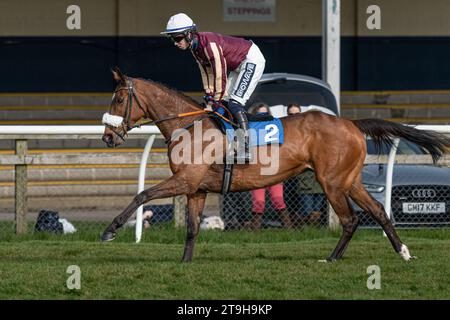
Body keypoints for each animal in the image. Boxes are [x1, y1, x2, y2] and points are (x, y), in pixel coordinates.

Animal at [100, 68, 448, 262]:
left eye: (118, 99)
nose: (107, 136)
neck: (190, 126)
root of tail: (350, 123)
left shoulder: (185, 181)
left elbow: (142, 195)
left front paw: (110, 230)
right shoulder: (196, 188)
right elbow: (192, 228)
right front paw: (185, 263)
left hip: (332, 182)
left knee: (350, 220)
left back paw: (332, 258)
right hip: (350, 180)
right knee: (377, 211)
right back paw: (403, 252)